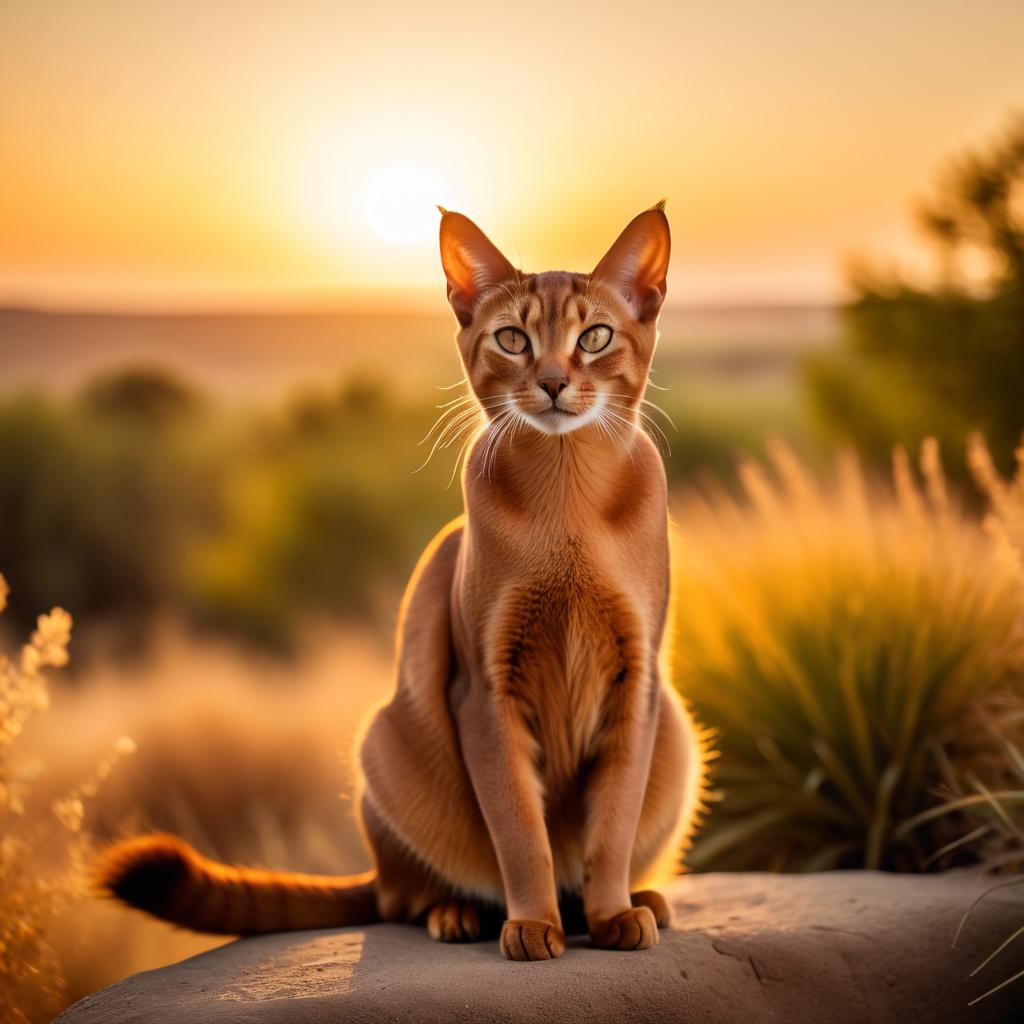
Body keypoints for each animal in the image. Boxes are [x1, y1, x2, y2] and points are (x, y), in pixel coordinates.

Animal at [99, 205, 708, 958]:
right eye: (512, 338)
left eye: (594, 337)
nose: (553, 382)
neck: (568, 506)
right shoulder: (483, 687)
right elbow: (518, 827)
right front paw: (531, 924)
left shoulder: (637, 679)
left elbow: (614, 818)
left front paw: (611, 913)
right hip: (387, 743)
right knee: (399, 897)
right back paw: (463, 912)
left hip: (676, 733)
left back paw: (635, 900)